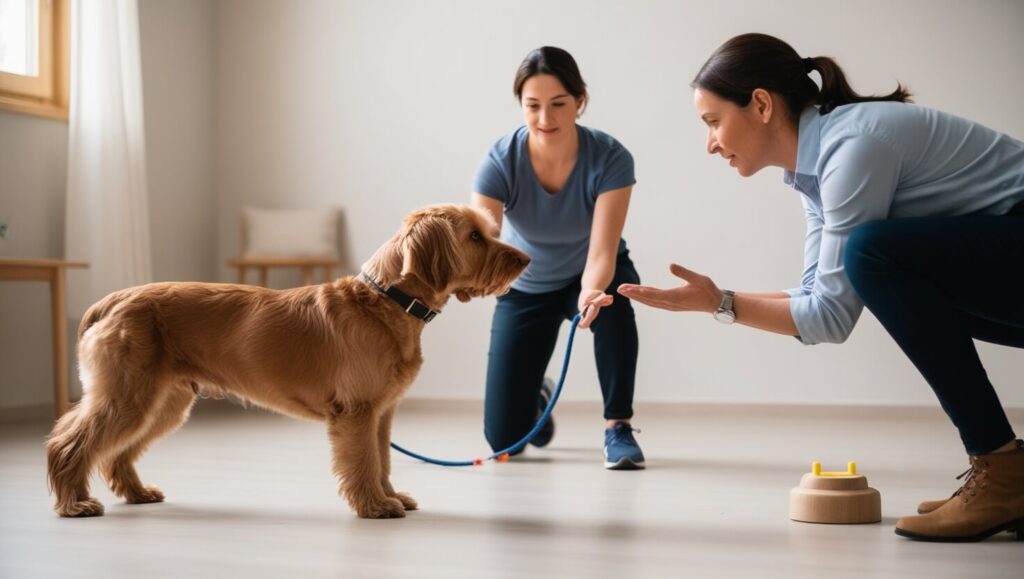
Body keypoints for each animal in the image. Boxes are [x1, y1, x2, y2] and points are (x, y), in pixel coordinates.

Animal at [46, 203, 528, 518]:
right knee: (69, 442)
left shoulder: (382, 413)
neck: (385, 302)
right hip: (128, 396)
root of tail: (113, 299)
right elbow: (363, 461)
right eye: (475, 236)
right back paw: (74, 502)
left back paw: (136, 493)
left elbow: (382, 460)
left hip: (161, 401)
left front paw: (390, 496)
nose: (526, 258)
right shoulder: (357, 411)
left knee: (116, 453)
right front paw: (374, 505)